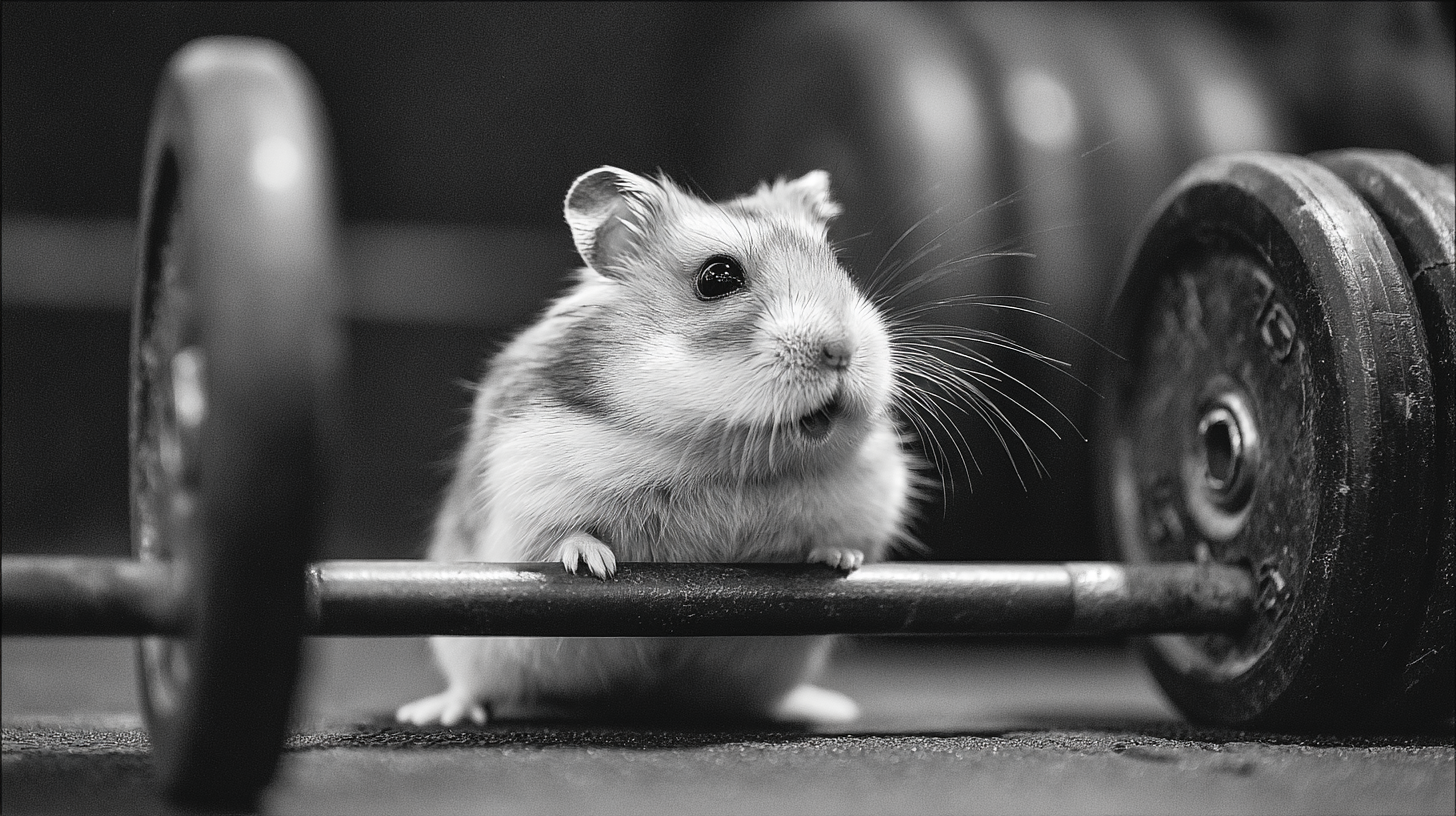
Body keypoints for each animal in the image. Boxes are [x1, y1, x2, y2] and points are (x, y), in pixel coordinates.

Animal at [395, 166, 914, 727]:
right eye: (718, 277)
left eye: (838, 268)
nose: (842, 351)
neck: (724, 456)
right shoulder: (524, 479)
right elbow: (561, 536)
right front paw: (596, 565)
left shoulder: (870, 494)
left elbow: (835, 538)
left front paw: (841, 560)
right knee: (476, 685)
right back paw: (434, 712)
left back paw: (829, 706)